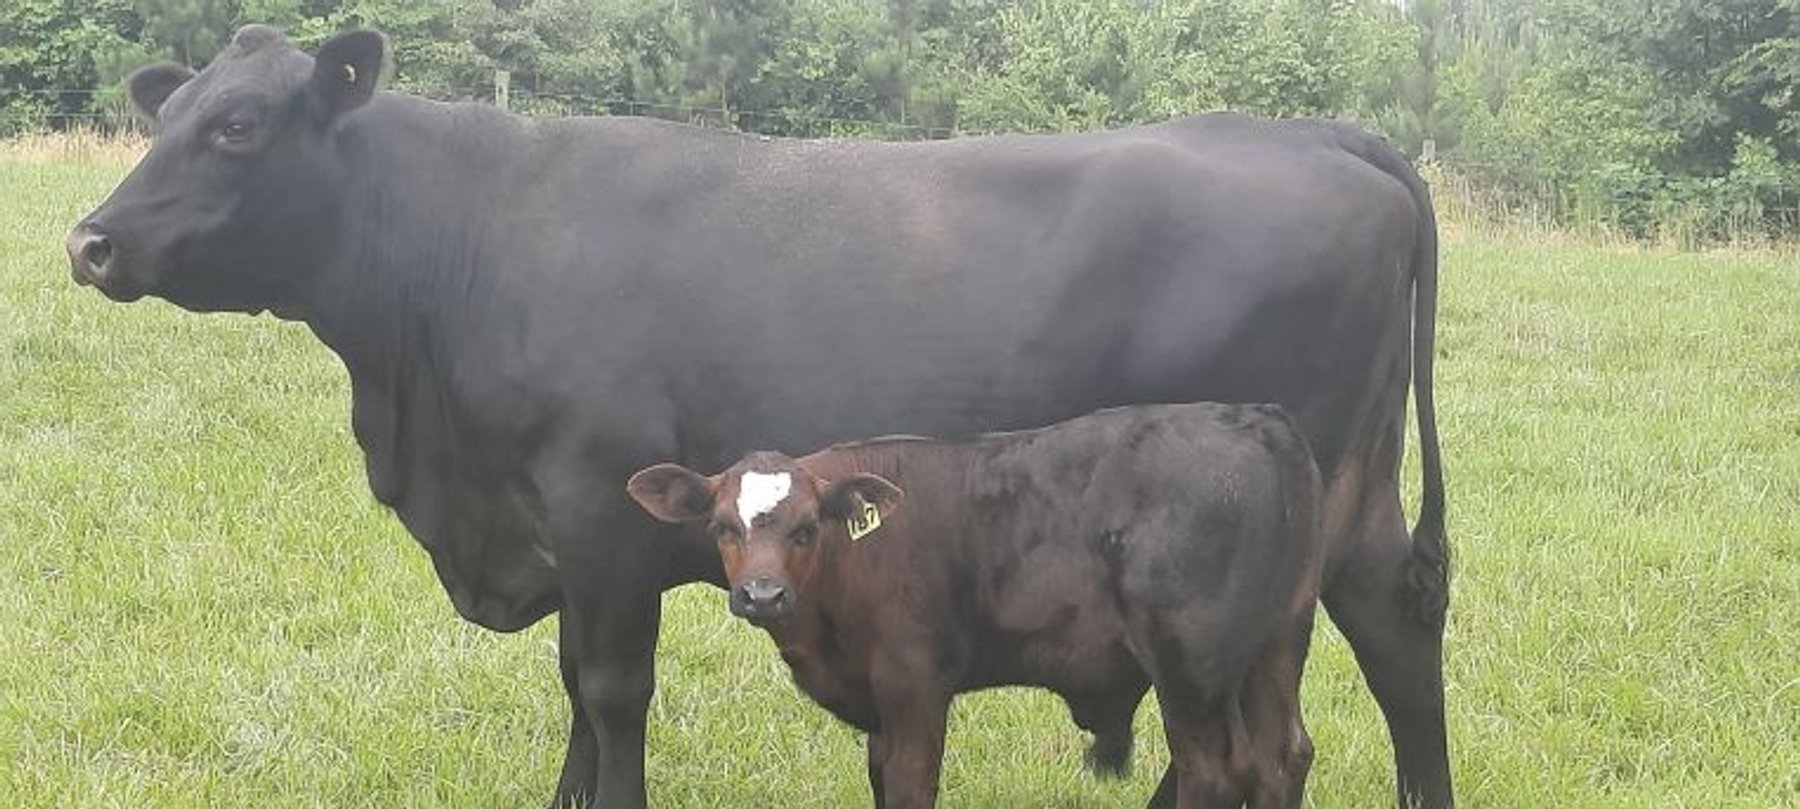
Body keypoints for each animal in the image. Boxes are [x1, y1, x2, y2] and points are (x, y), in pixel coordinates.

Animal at [627, 403, 1326, 809]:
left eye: (806, 527)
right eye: (723, 527)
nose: (763, 594)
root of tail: (1254, 420)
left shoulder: (914, 687)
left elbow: (911, 786)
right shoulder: (879, 704)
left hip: (1190, 666)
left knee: (1215, 770)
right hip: (1277, 642)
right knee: (1281, 757)